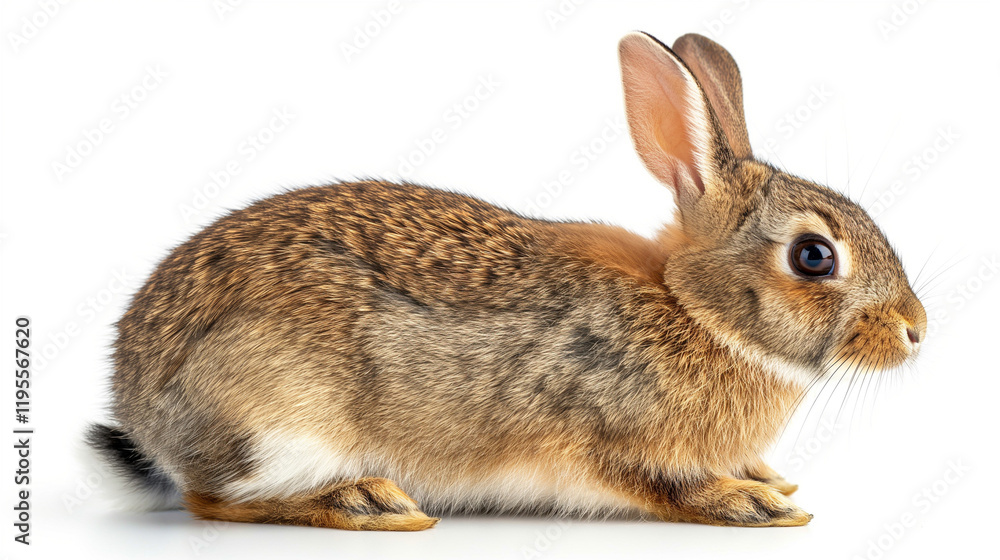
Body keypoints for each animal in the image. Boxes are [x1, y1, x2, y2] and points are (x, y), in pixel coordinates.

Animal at [87, 31, 926, 530]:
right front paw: (748, 502)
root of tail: (139, 401)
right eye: (814, 257)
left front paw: (767, 478)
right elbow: (658, 483)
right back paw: (365, 503)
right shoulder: (599, 429)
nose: (916, 330)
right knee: (214, 499)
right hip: (280, 414)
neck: (696, 310)